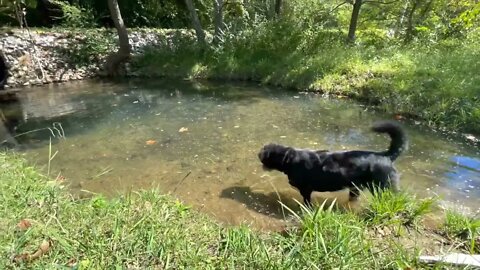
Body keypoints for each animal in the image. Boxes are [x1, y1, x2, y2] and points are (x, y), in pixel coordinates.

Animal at [258, 120, 408, 205]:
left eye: (264, 152)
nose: (258, 154)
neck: (290, 159)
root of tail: (386, 156)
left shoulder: (306, 190)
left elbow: (307, 203)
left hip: (384, 187)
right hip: (355, 188)